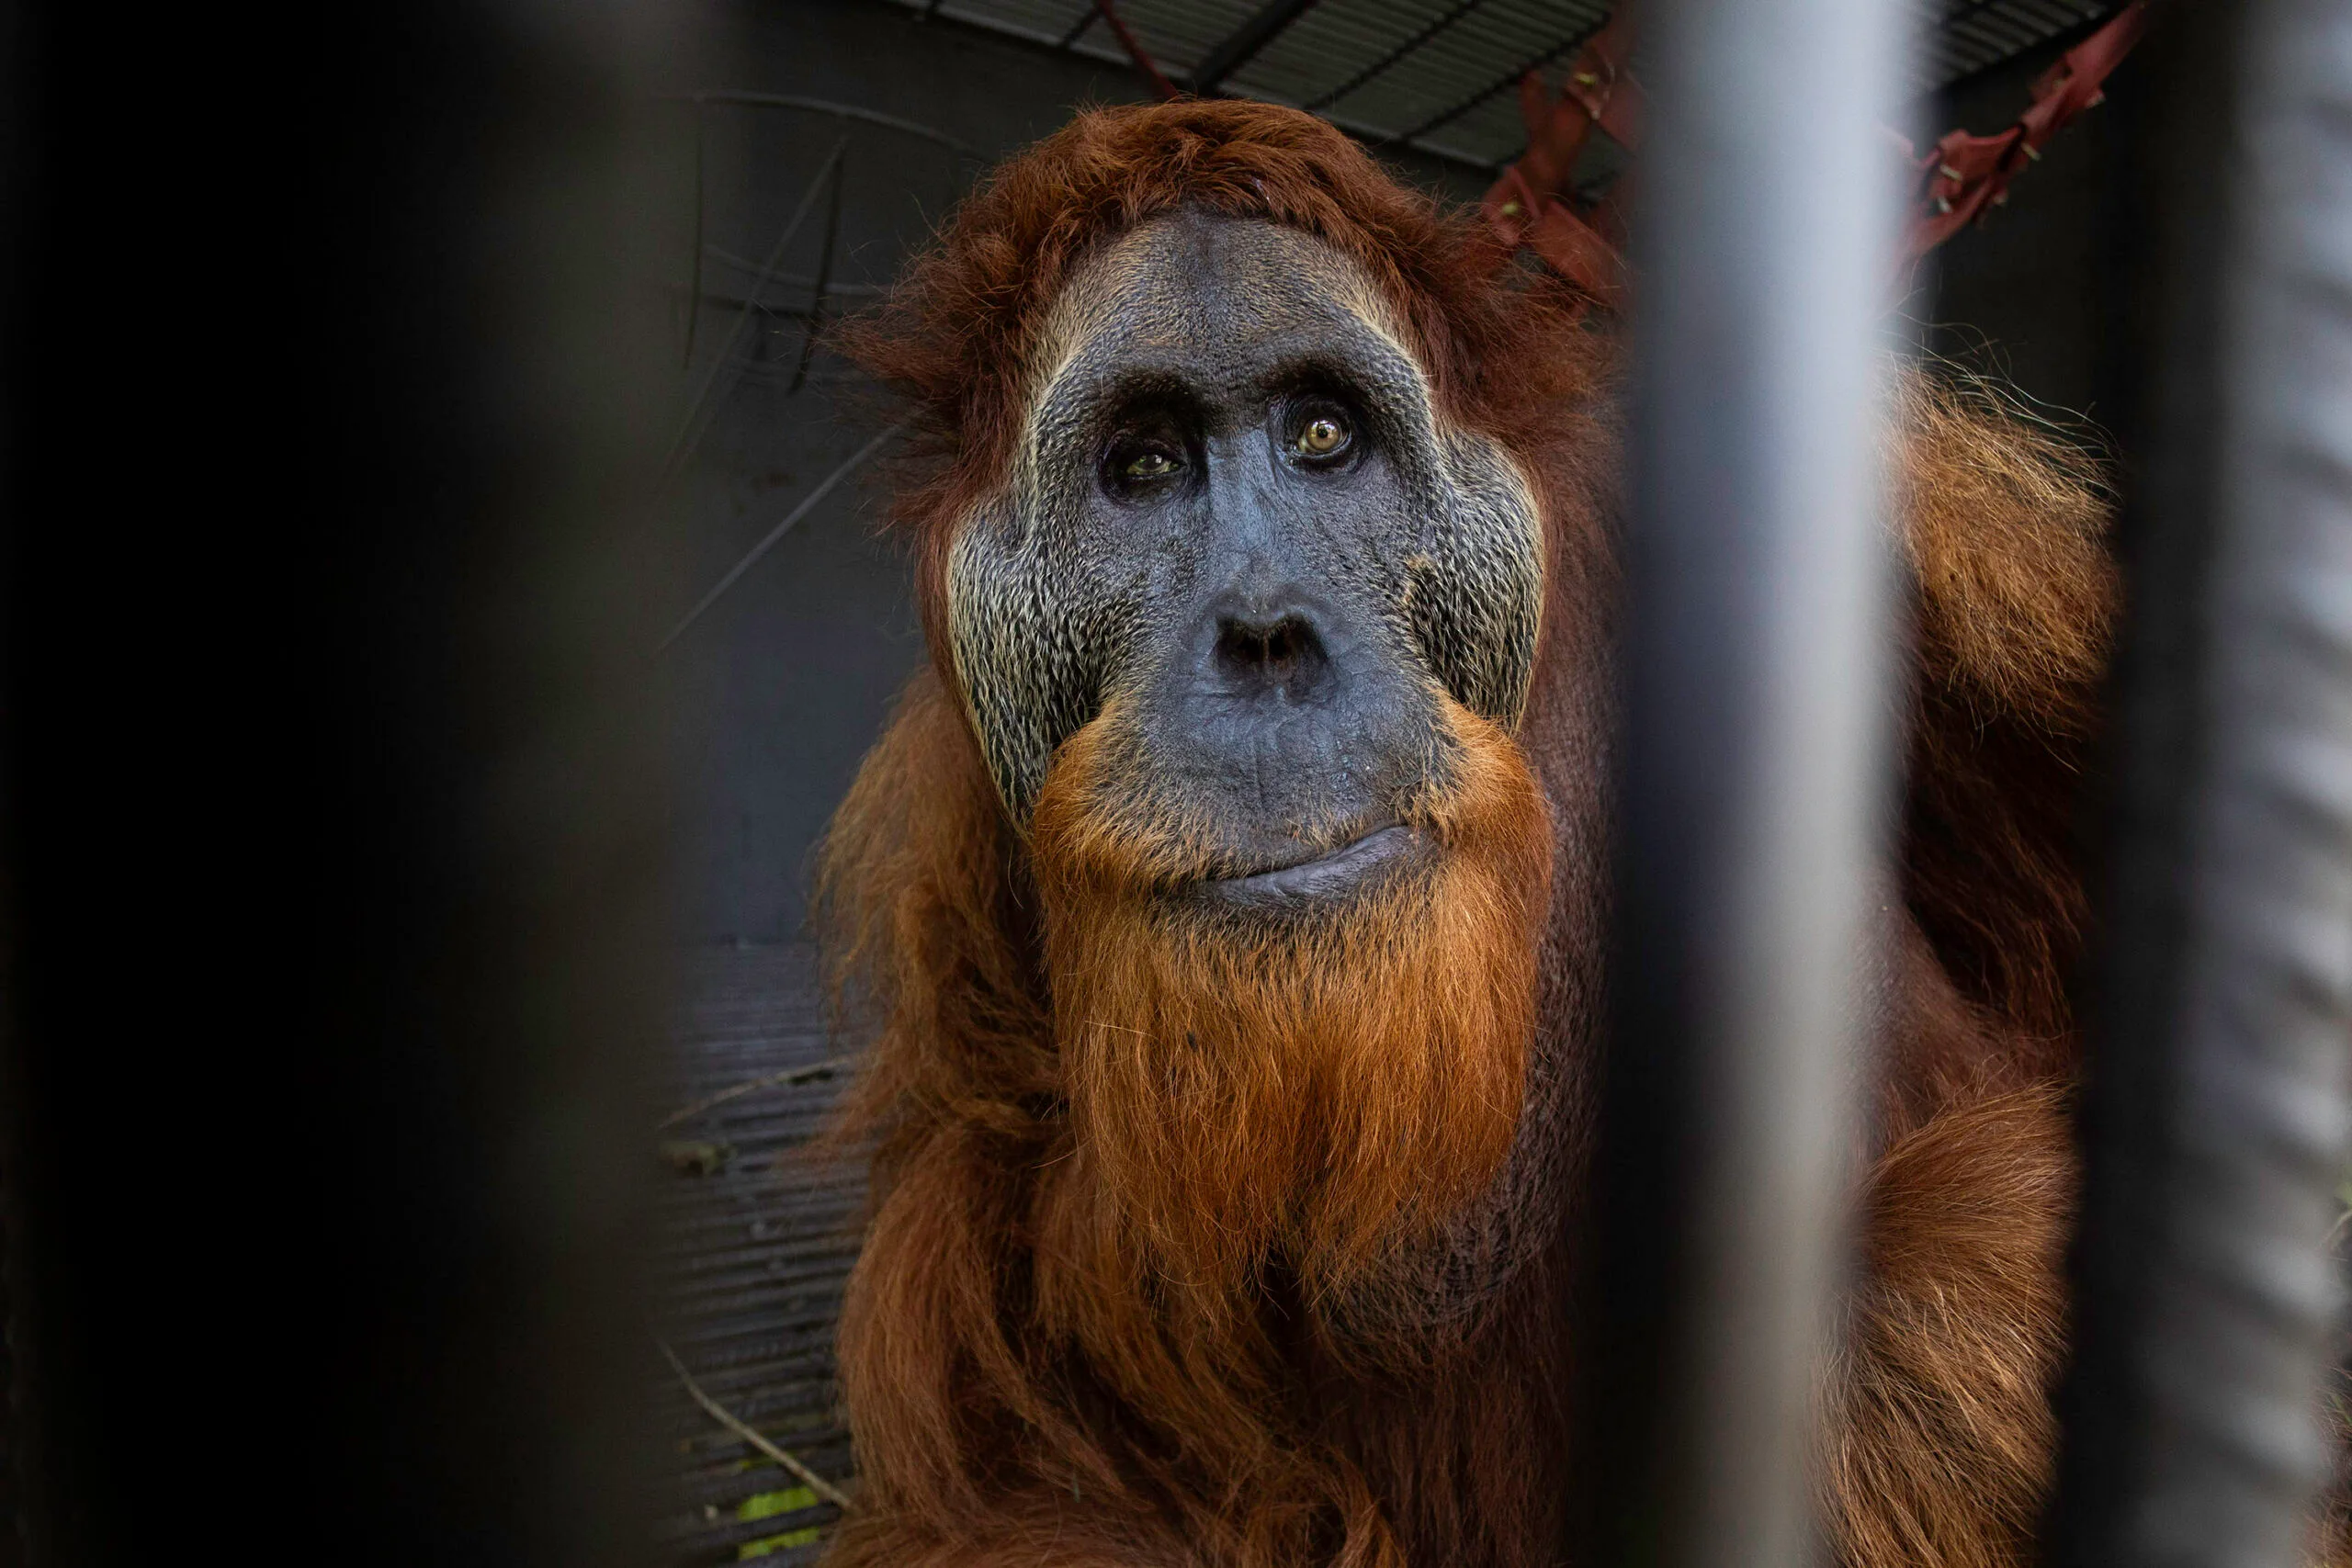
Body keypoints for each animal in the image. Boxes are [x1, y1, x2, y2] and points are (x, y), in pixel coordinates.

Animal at [815, 99, 2123, 1568]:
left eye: (1323, 436)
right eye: (1142, 468)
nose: (1264, 633)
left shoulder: (1921, 524)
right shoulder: (954, 861)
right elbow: (1021, 1471)